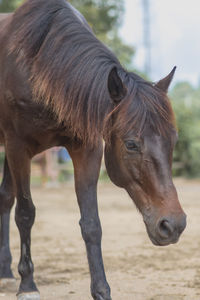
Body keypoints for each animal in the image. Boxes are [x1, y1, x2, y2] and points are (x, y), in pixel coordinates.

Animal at [0, 0, 186, 300]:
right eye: (131, 144)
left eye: (174, 140)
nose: (173, 224)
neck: (38, 65)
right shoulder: (19, 147)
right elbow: (26, 213)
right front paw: (27, 284)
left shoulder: (86, 150)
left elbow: (91, 224)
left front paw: (101, 289)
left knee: (5, 198)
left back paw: (5, 269)